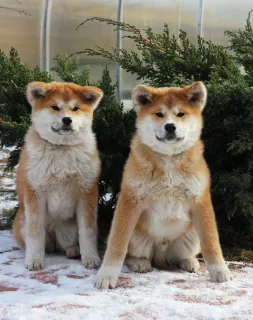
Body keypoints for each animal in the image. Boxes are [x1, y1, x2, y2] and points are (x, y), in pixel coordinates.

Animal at [12, 80, 103, 270]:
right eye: (55, 107)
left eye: (75, 108)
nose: (67, 119)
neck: (62, 150)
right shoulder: (35, 192)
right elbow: (35, 232)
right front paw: (34, 261)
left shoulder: (87, 192)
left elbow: (88, 231)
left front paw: (90, 258)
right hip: (22, 222)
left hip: (70, 229)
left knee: (67, 245)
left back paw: (74, 251)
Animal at [96, 81, 232, 288]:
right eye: (159, 114)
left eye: (180, 114)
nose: (170, 127)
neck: (169, 160)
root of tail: (161, 254)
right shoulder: (130, 201)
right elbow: (117, 244)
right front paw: (106, 275)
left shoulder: (200, 202)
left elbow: (211, 241)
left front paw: (220, 271)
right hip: (137, 235)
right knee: (133, 254)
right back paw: (140, 263)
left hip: (192, 234)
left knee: (183, 255)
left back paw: (189, 262)